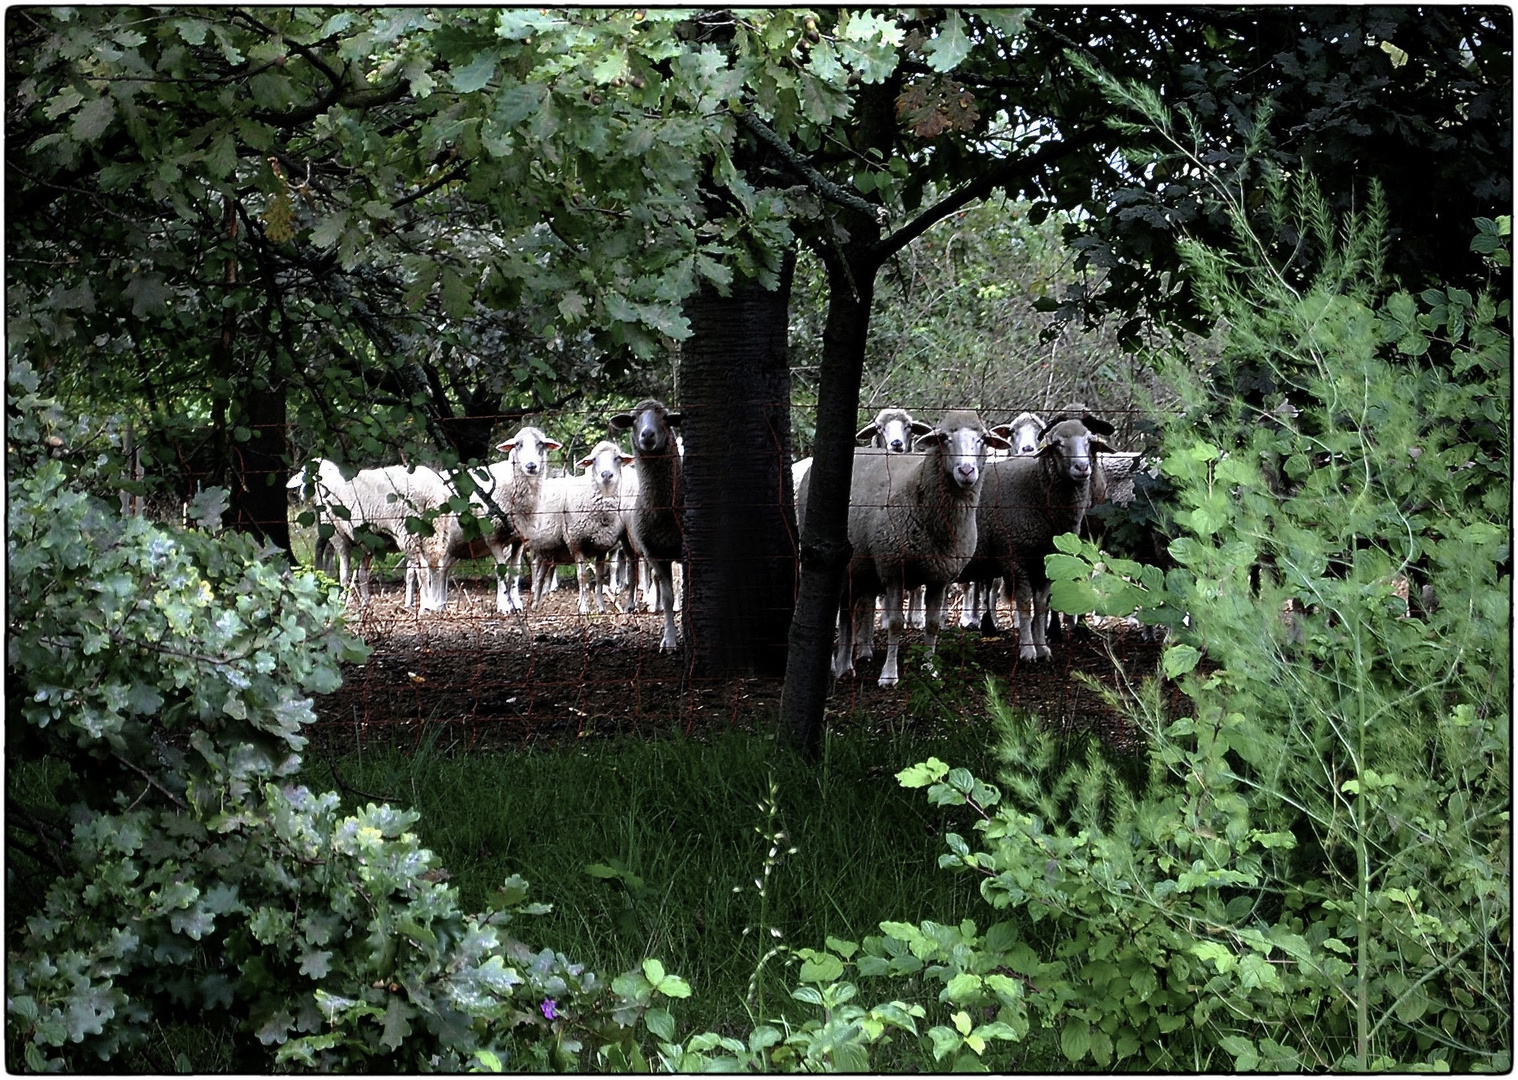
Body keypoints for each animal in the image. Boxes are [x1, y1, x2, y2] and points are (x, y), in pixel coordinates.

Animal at [528, 437, 634, 607]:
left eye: (617, 458)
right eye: (594, 460)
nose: (606, 474)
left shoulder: (602, 546)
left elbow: (599, 577)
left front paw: (601, 606)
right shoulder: (576, 543)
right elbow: (582, 576)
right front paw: (584, 607)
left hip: (550, 548)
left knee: (542, 573)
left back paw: (536, 603)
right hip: (541, 544)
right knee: (537, 572)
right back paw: (534, 601)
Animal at [607, 397, 686, 650]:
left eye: (665, 418)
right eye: (634, 419)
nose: (647, 435)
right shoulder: (654, 551)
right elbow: (670, 596)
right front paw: (669, 640)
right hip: (629, 542)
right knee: (636, 574)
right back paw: (635, 604)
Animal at [825, 410, 1014, 689]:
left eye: (982, 439)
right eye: (944, 438)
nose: (966, 470)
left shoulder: (940, 575)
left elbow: (933, 624)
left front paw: (929, 669)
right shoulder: (893, 570)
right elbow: (894, 624)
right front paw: (889, 675)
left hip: (855, 570)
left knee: (847, 613)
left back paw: (844, 665)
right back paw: (834, 664)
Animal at [959, 413, 1117, 662]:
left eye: (1090, 442)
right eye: (1058, 444)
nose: (1082, 467)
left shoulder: (1045, 561)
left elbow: (1042, 604)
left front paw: (1043, 648)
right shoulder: (1015, 557)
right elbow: (1024, 605)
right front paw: (1027, 651)